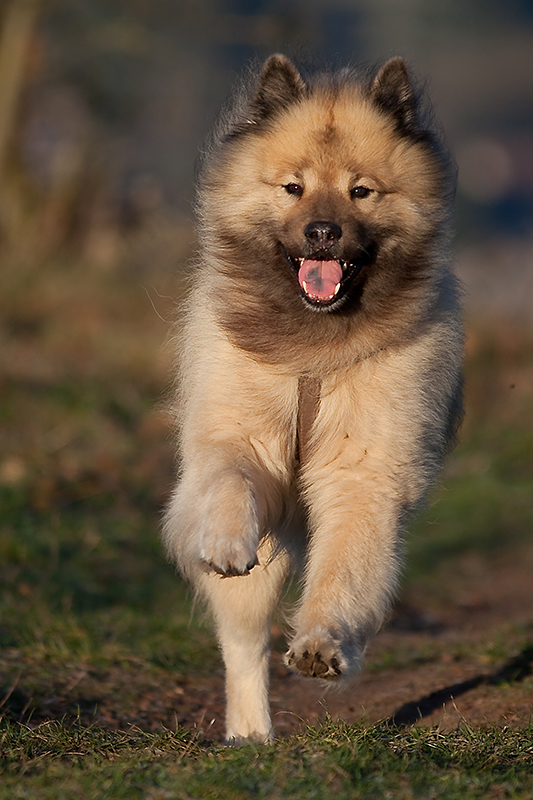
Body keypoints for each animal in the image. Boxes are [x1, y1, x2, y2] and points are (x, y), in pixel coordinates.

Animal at [164, 54, 464, 744]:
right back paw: (250, 734)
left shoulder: (364, 475)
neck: (314, 353)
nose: (323, 232)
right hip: (262, 569)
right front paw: (226, 541)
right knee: (243, 645)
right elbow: (230, 481)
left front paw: (324, 647)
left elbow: (344, 573)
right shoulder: (240, 437)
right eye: (293, 188)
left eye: (361, 192)